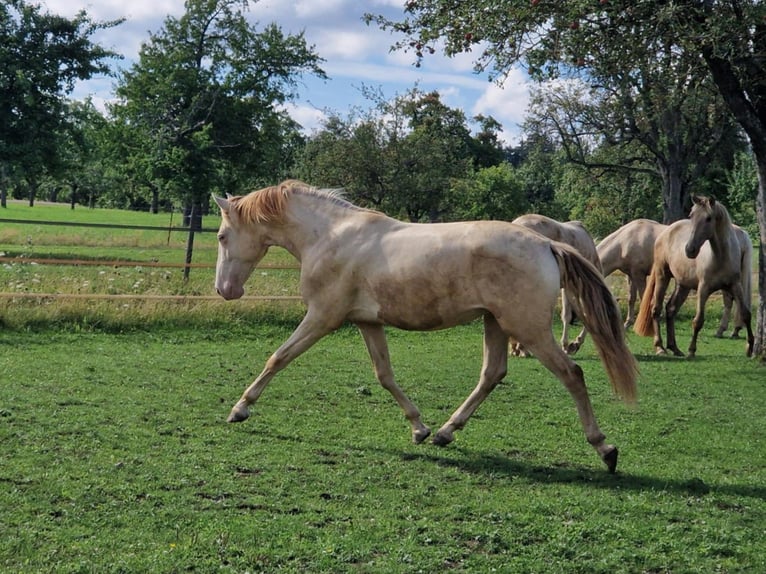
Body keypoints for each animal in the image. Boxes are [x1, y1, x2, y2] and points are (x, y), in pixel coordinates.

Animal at [633, 196, 753, 357]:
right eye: (691, 216)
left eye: (709, 218)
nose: (690, 249)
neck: (720, 257)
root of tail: (665, 232)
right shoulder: (703, 289)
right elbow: (698, 320)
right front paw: (691, 350)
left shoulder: (735, 286)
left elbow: (746, 314)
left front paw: (750, 347)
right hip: (662, 275)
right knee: (656, 308)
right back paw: (660, 347)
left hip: (683, 285)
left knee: (671, 309)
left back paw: (674, 348)